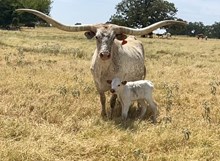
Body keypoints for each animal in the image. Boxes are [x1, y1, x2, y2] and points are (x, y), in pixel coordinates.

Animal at [16, 8, 186, 117]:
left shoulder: (117, 84)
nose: (104, 54)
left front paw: (111, 115)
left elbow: (112, 100)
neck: (105, 69)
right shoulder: (97, 84)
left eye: (113, 37)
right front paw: (103, 114)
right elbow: (102, 99)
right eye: (97, 37)